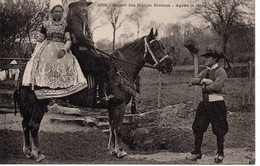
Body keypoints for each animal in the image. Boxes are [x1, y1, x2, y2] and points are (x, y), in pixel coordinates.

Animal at [13, 27, 173, 161]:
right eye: (155, 45)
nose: (169, 64)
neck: (120, 69)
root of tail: (24, 72)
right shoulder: (119, 105)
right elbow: (119, 128)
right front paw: (121, 151)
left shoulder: (111, 106)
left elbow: (112, 126)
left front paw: (112, 150)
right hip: (39, 104)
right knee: (33, 125)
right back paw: (38, 153)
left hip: (29, 106)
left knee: (25, 124)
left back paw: (28, 151)